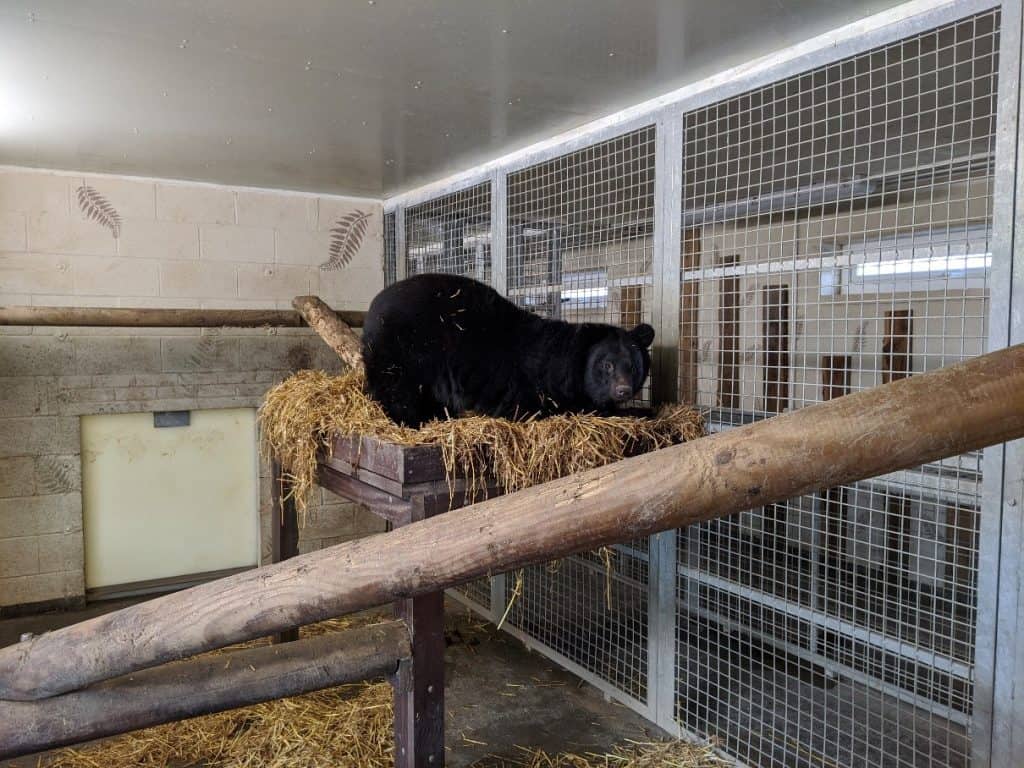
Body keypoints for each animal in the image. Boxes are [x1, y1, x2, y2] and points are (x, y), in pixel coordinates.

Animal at [360, 272, 655, 430]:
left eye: (632, 365)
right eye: (606, 365)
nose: (622, 390)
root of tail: (372, 307)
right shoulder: (540, 388)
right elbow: (575, 408)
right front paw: (637, 412)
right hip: (404, 350)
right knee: (399, 390)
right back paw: (415, 420)